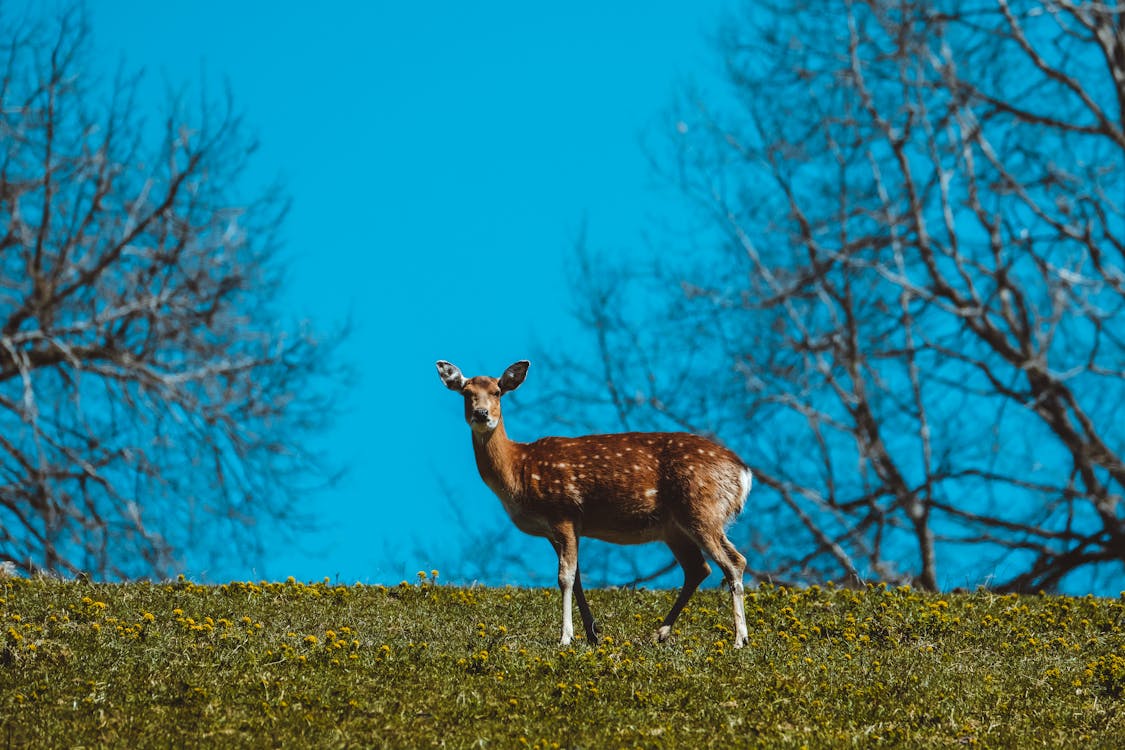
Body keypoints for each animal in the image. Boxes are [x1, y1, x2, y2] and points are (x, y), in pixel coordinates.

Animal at [434, 359, 751, 647]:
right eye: (466, 392)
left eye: (498, 391)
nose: (481, 413)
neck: (519, 471)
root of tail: (743, 473)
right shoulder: (556, 530)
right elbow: (577, 578)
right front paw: (592, 633)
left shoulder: (563, 510)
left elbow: (564, 576)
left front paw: (565, 637)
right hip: (674, 527)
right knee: (699, 568)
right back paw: (660, 633)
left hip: (702, 507)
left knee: (734, 562)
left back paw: (740, 639)